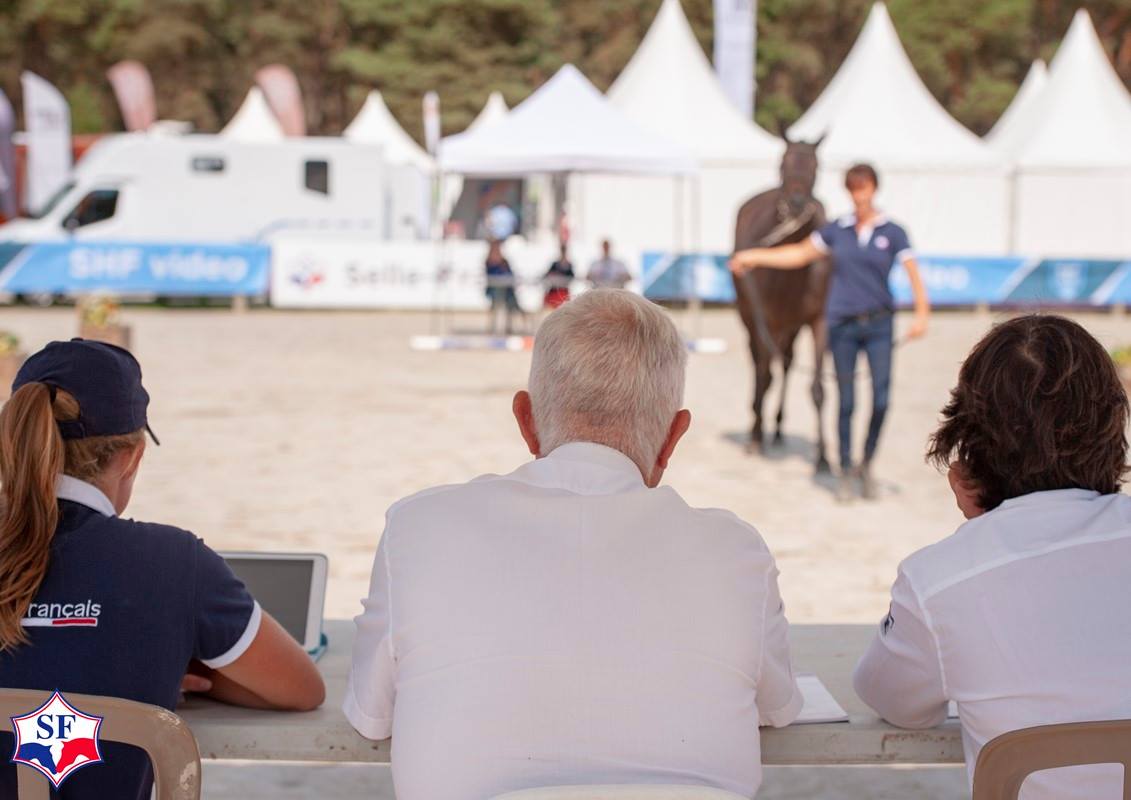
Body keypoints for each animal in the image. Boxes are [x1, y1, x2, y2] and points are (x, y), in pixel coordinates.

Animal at [732, 137, 832, 473]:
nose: (797, 205)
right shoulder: (764, 318)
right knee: (761, 366)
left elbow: (818, 388)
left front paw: (824, 458)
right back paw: (757, 424)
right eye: (783, 163)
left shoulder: (817, 320)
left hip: (791, 326)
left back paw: (775, 428)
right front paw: (754, 438)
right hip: (751, 316)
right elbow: (764, 374)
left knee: (786, 363)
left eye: (816, 166)